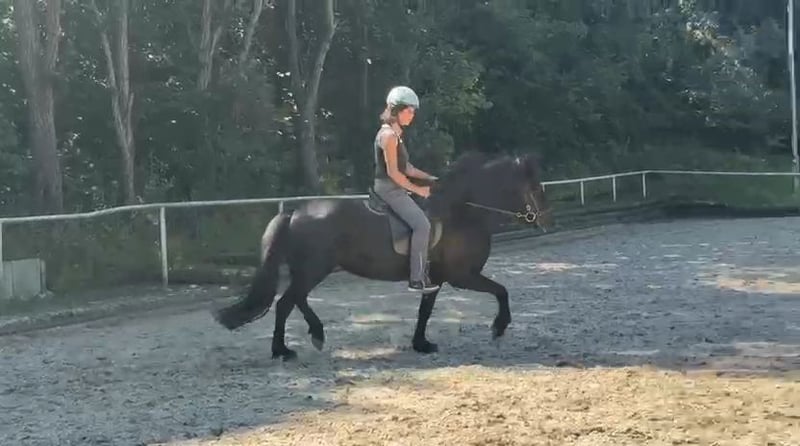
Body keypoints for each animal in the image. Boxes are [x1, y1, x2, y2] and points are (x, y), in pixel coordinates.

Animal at [212, 152, 553, 360]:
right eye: (536, 187)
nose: (545, 220)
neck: (464, 211)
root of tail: (295, 211)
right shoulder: (462, 276)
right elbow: (501, 291)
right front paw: (499, 327)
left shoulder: (436, 278)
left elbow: (425, 311)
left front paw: (421, 344)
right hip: (314, 269)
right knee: (286, 303)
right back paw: (283, 350)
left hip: (310, 270)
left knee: (296, 301)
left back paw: (314, 335)